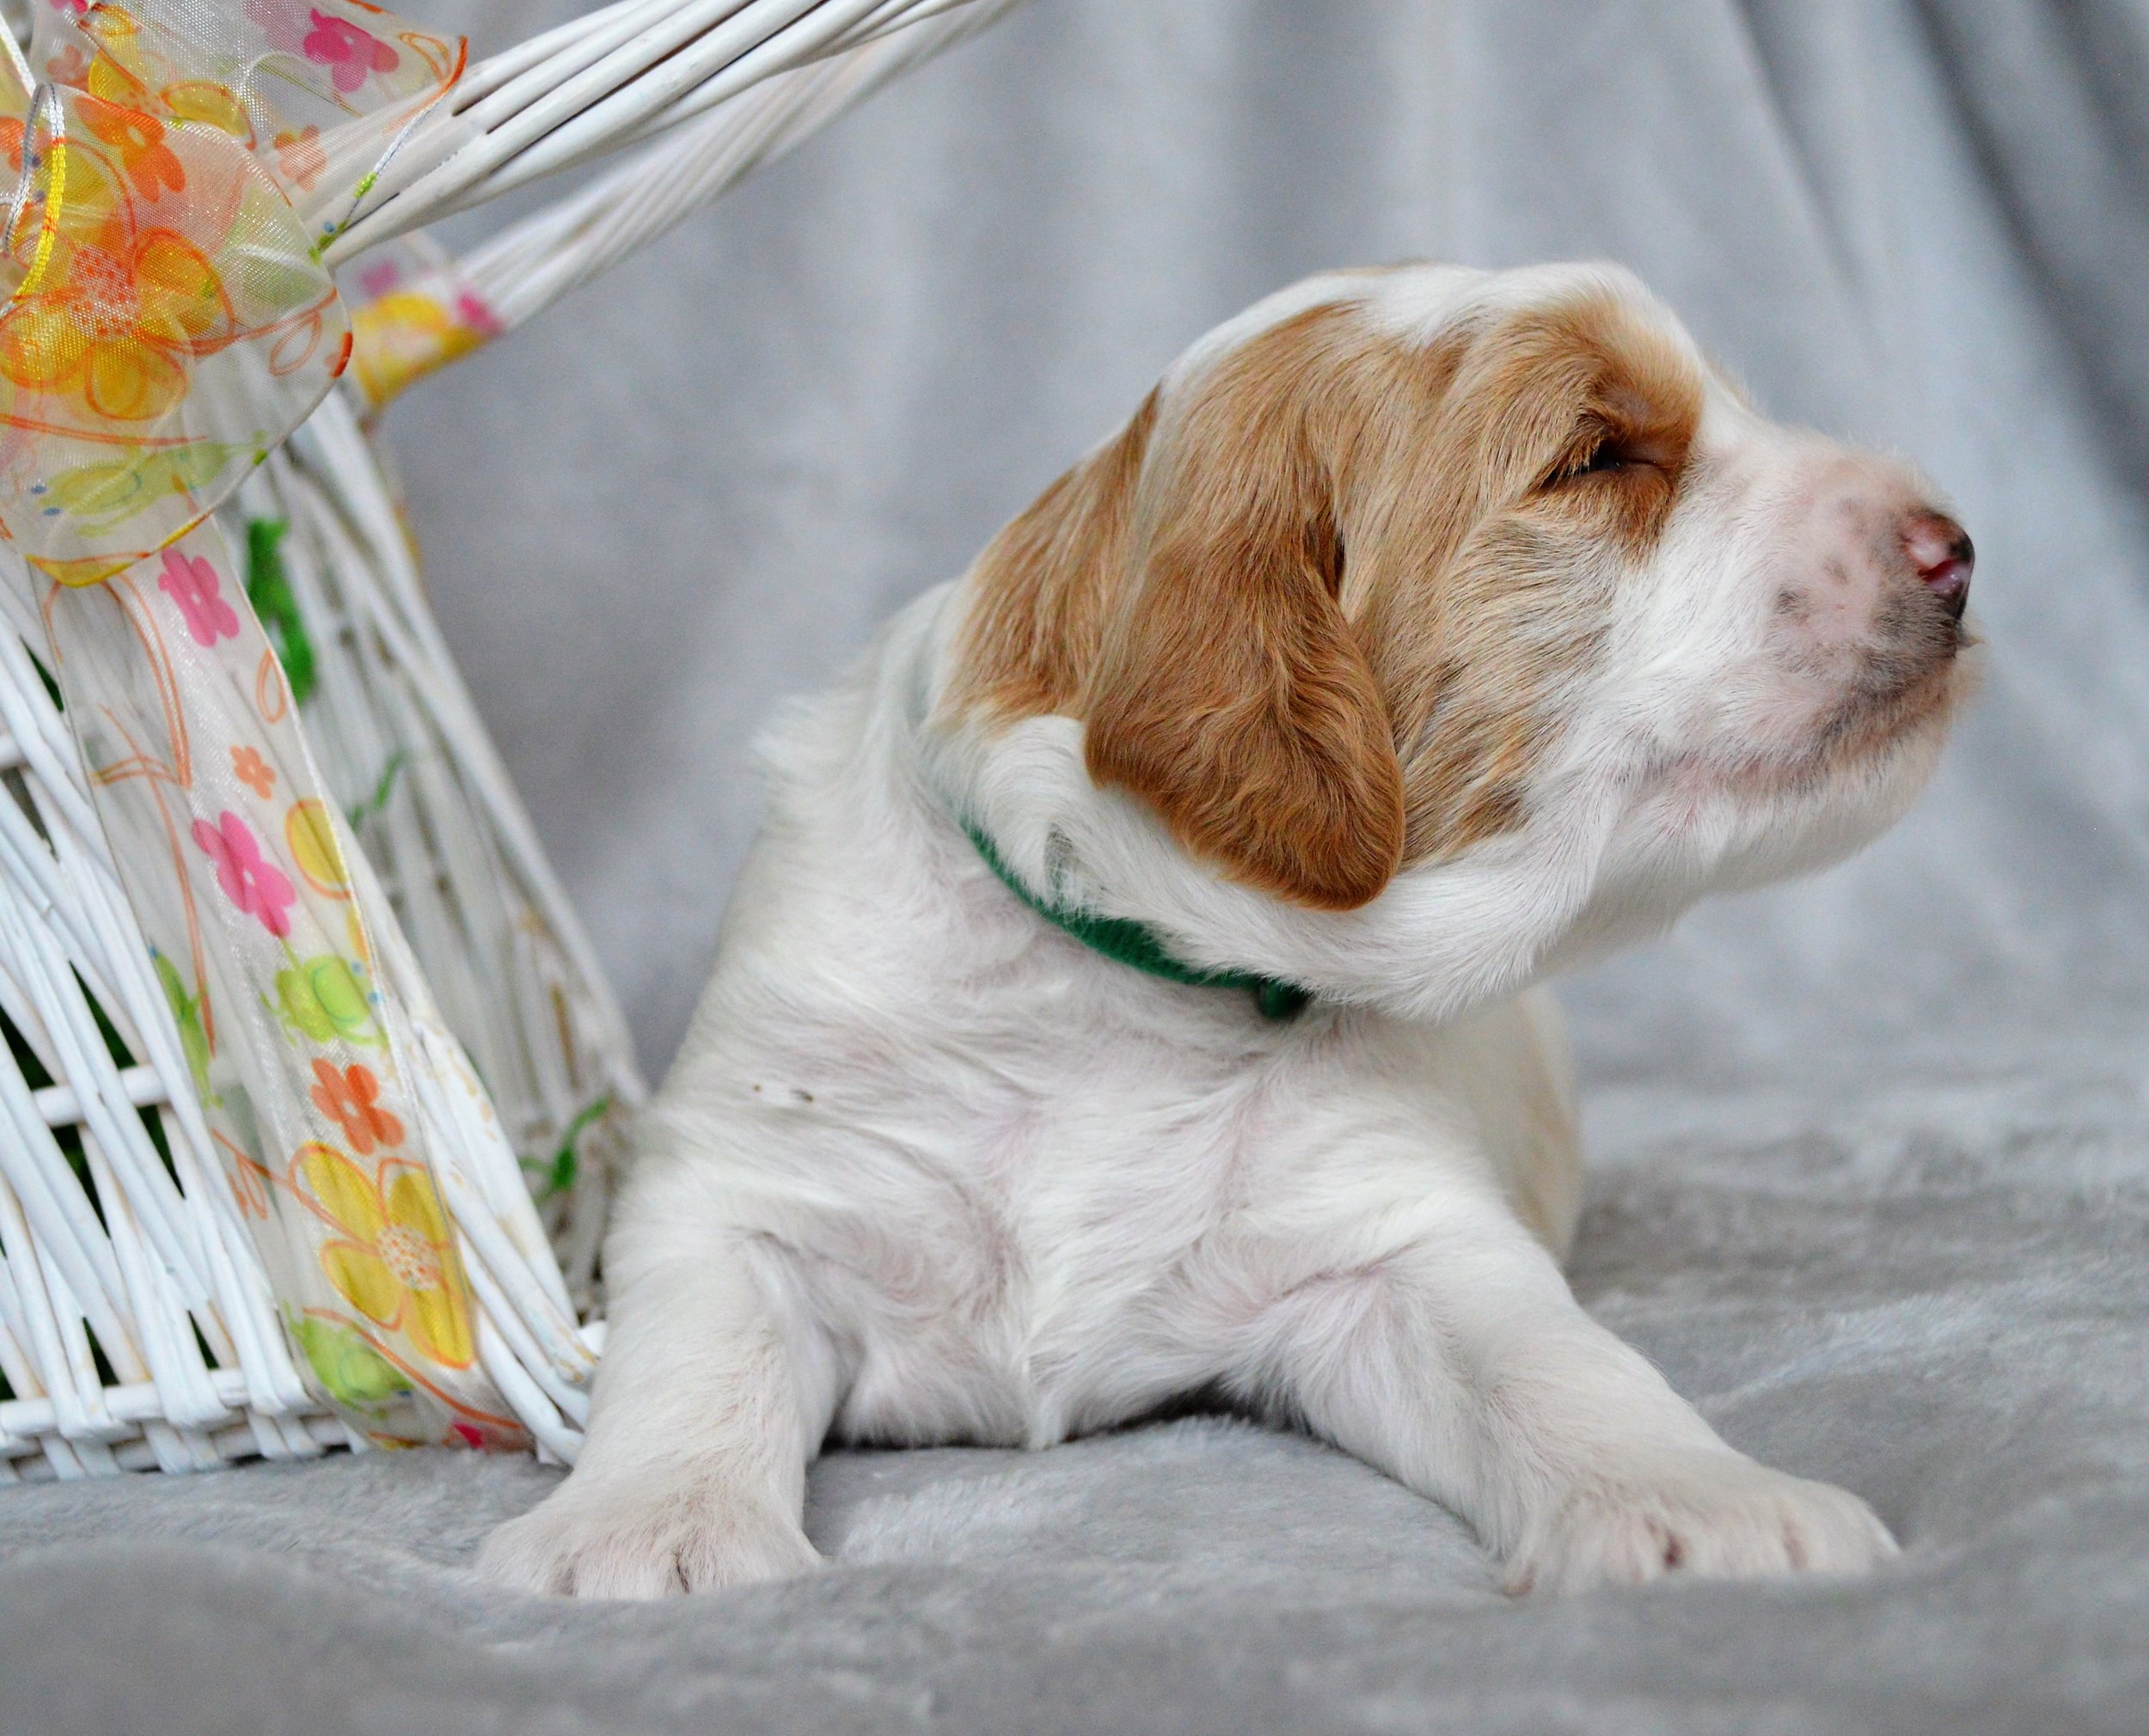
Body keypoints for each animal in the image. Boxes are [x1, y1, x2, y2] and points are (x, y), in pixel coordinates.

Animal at [487, 260, 1977, 1598]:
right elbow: (696, 1353)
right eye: (1598, 456)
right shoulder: (737, 1183)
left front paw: (1706, 1507)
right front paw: (650, 1535)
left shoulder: (1399, 1235)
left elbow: (1559, 1367)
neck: (1121, 986)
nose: (1958, 549)